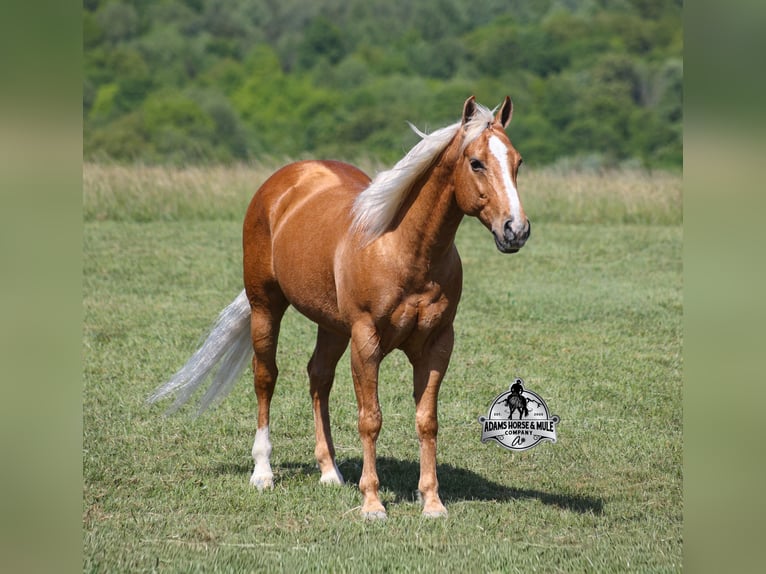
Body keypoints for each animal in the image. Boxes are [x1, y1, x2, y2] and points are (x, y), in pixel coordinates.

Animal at [149, 96, 530, 519]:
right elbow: (370, 419)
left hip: (330, 326)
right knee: (266, 377)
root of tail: (284, 182)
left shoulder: (437, 345)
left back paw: (330, 472)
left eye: (517, 162)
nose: (515, 230)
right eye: (476, 162)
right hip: (265, 305)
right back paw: (263, 472)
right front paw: (372, 503)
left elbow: (427, 421)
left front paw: (432, 502)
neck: (403, 249)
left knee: (318, 378)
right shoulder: (366, 341)